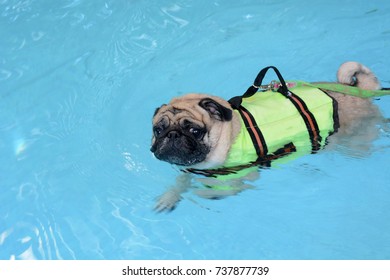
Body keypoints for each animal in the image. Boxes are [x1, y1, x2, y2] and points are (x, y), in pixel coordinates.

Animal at [150, 60, 384, 210]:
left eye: (194, 130)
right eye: (158, 130)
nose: (172, 135)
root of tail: (358, 91)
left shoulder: (240, 178)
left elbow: (212, 191)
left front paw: (201, 194)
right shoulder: (188, 169)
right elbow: (181, 182)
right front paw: (170, 196)